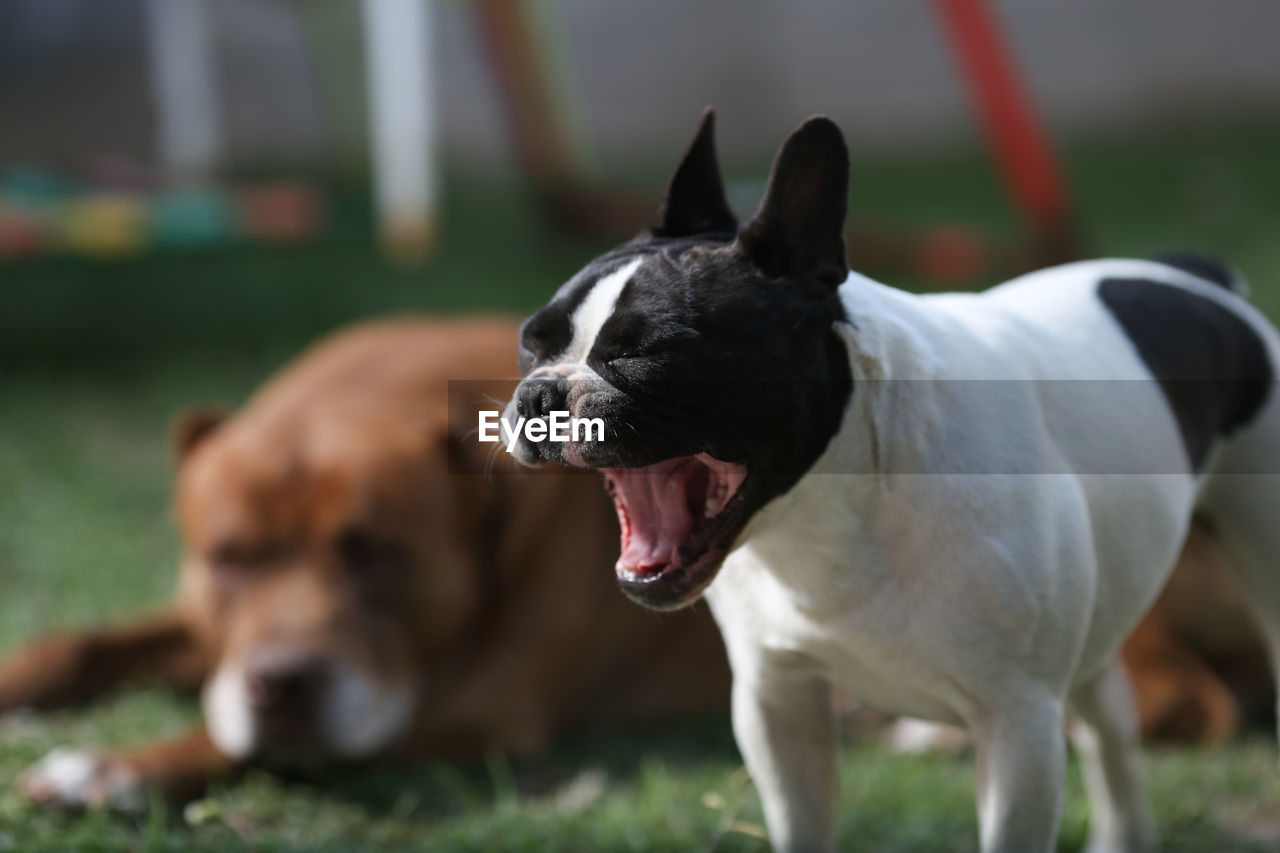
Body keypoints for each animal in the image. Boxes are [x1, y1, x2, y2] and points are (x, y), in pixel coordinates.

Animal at [0, 315, 727, 809]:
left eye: (378, 554)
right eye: (227, 560)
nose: (282, 685)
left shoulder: (477, 705)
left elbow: (238, 739)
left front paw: (118, 767)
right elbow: (80, 646)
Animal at [504, 109, 1280, 845]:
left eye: (647, 355)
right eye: (529, 344)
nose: (539, 394)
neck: (832, 499)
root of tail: (1199, 279)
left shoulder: (1018, 724)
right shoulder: (777, 704)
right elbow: (803, 825)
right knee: (1111, 723)